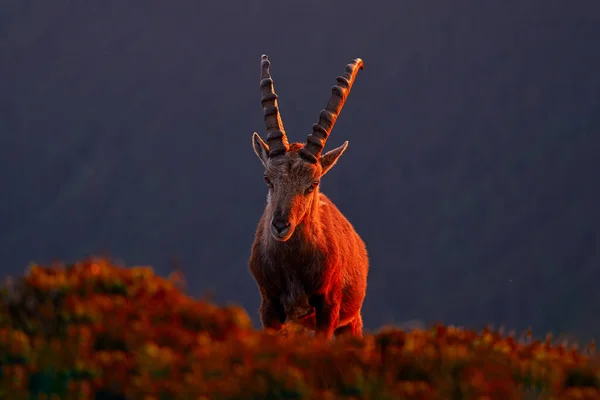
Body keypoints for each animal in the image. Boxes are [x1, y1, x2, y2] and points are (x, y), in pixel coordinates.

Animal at [247, 54, 368, 340]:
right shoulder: (269, 306)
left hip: (351, 321)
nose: (281, 225)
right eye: (267, 178)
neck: (292, 264)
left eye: (313, 183)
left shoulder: (329, 307)